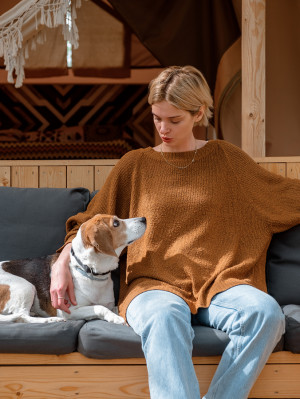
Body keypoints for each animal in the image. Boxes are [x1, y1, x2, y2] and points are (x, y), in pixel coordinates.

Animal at [0, 216, 146, 324]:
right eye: (116, 223)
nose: (143, 218)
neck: (91, 273)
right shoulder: (69, 311)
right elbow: (99, 307)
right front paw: (114, 317)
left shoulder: (110, 304)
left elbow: (110, 306)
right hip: (26, 286)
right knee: (22, 316)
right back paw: (50, 320)